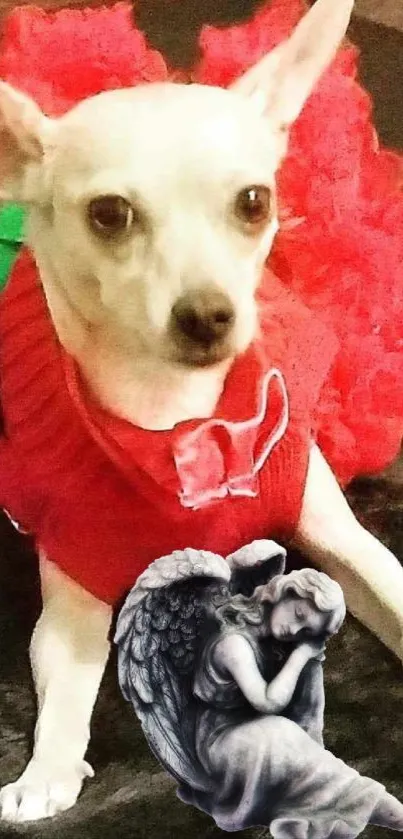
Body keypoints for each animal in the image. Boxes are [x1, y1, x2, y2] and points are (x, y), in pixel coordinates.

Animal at [0, 0, 403, 828]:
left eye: (254, 202)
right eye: (109, 215)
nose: (208, 313)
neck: (176, 419)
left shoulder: (342, 541)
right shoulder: (74, 600)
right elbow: (69, 689)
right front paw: (46, 769)